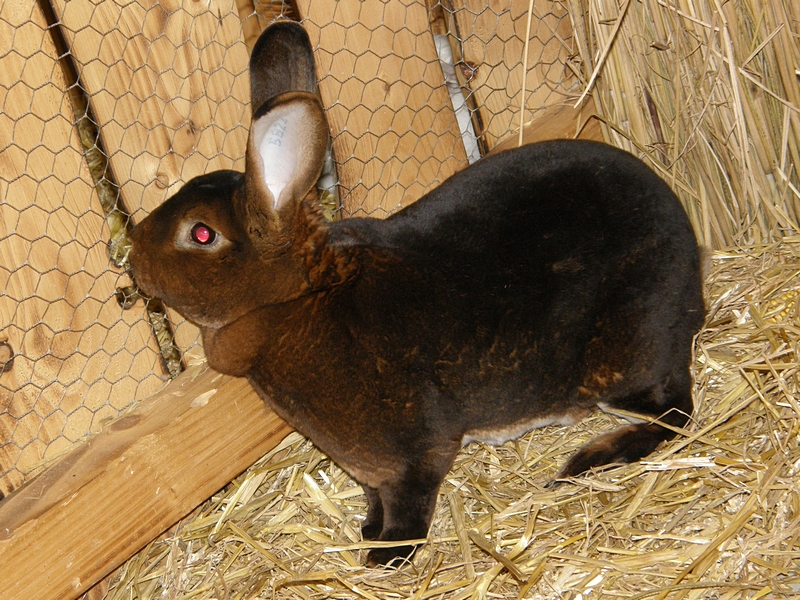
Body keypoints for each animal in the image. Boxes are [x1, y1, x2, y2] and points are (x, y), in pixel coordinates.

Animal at [128, 22, 704, 568]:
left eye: (202, 234)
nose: (132, 257)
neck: (302, 298)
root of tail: (693, 285)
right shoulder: (372, 472)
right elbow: (375, 499)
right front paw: (367, 533)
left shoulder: (414, 456)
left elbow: (410, 506)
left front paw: (385, 556)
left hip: (625, 359)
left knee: (676, 412)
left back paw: (588, 460)